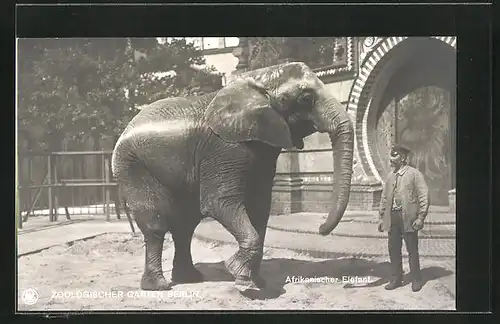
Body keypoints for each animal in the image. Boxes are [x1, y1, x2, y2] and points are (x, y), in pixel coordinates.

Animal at [112, 60, 356, 292]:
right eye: (306, 99)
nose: (320, 229)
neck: (259, 79)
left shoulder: (262, 147)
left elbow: (260, 206)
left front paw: (255, 282)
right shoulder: (224, 147)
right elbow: (220, 202)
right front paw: (241, 278)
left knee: (185, 225)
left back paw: (190, 279)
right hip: (133, 166)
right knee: (157, 223)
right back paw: (159, 286)